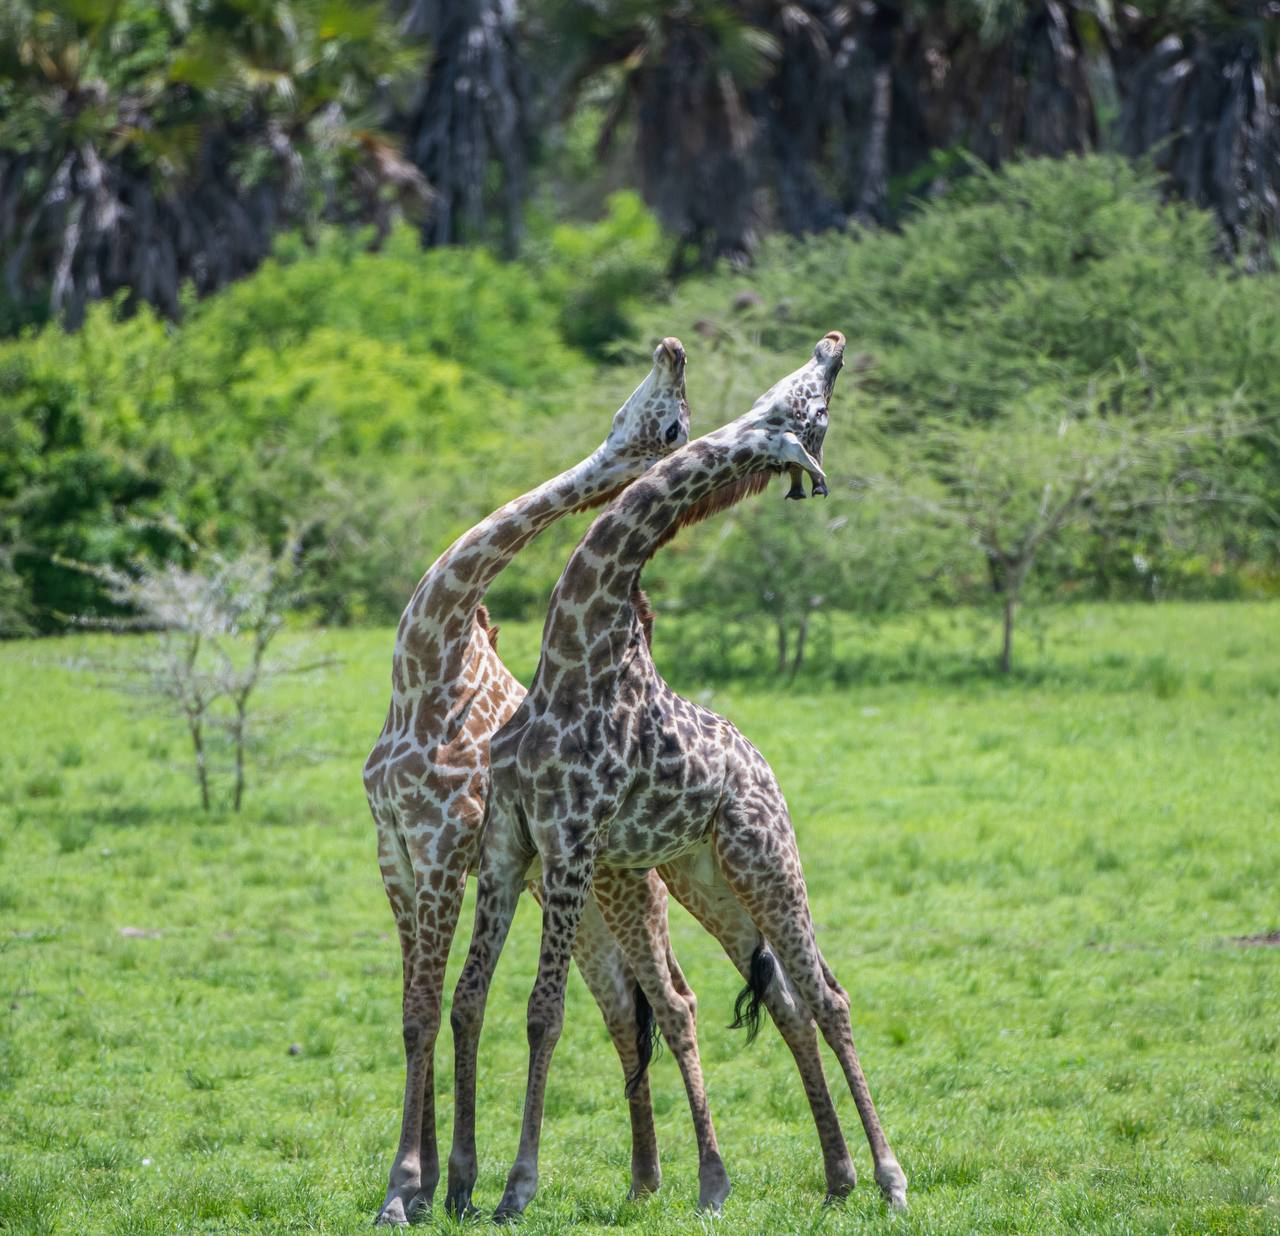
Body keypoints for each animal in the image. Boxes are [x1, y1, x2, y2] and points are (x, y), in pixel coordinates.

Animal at [360, 337, 701, 1228]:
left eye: (674, 425)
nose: (674, 348)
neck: (424, 668)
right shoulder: (395, 851)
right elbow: (417, 1011)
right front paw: (434, 1181)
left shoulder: (444, 848)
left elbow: (428, 1011)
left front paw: (407, 1187)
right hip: (579, 908)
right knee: (623, 1009)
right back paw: (643, 1179)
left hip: (623, 892)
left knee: (671, 1002)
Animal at [450, 332, 911, 1223]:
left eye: (814, 410)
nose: (834, 345)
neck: (571, 658)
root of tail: (763, 767)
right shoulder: (509, 843)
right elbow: (472, 997)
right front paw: (455, 1184)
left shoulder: (568, 844)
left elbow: (543, 1012)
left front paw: (516, 1189)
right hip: (704, 873)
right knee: (788, 999)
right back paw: (832, 1176)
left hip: (768, 857)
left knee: (828, 996)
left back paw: (889, 1177)